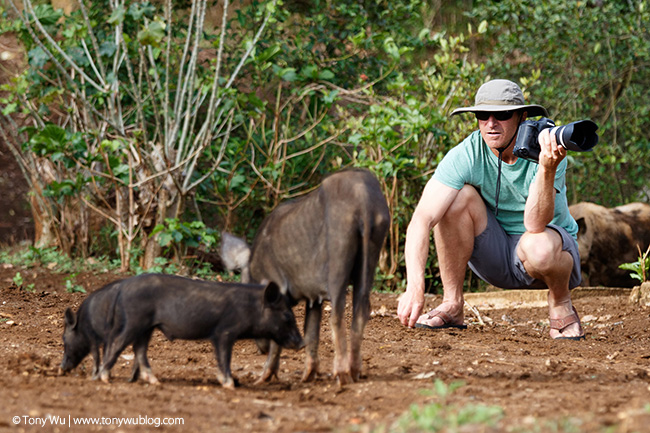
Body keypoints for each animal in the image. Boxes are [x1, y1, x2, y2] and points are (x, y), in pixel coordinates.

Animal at [96, 276, 304, 390]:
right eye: (287, 315)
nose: (302, 343)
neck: (250, 308)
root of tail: (123, 286)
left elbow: (220, 357)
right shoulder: (224, 331)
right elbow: (225, 356)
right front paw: (229, 384)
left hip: (146, 327)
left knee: (139, 349)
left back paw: (155, 382)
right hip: (135, 320)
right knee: (118, 342)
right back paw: (105, 378)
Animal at [220, 169, 388, 384]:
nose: (260, 348)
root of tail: (363, 201)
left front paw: (263, 379)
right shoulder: (313, 296)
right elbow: (311, 331)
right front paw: (307, 377)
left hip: (338, 254)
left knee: (337, 314)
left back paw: (341, 375)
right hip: (372, 250)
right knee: (361, 310)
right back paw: (354, 373)